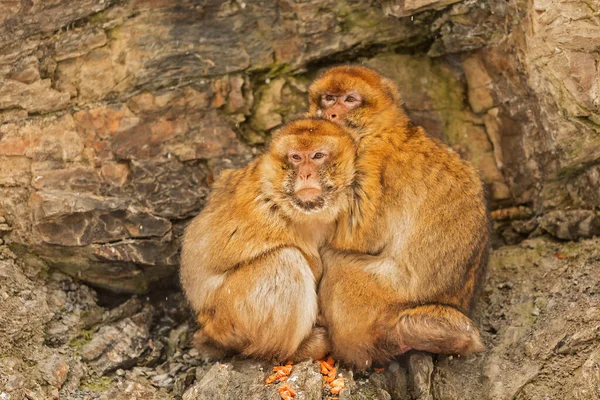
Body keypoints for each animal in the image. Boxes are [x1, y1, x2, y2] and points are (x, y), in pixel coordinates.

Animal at [178, 117, 356, 360]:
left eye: (317, 155)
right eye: (296, 157)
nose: (305, 174)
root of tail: (207, 325)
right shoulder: (268, 207)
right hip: (231, 318)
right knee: (284, 260)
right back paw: (294, 350)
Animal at [308, 65, 490, 368]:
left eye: (350, 99)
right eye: (329, 98)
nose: (331, 114)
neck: (381, 127)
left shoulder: (371, 159)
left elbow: (358, 235)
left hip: (376, 297)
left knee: (337, 262)